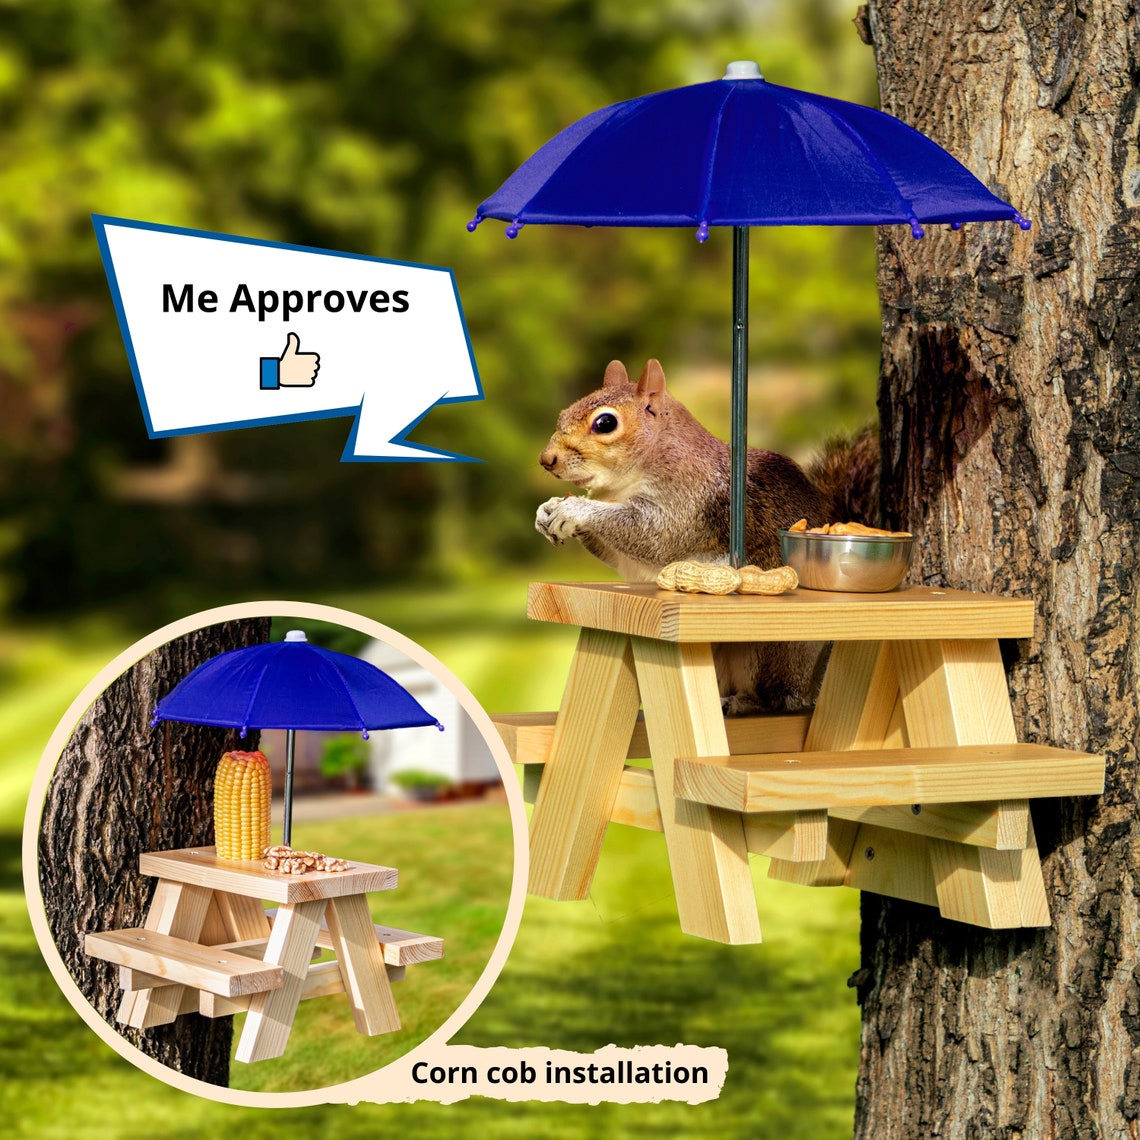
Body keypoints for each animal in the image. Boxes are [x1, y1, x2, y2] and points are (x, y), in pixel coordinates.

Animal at [535, 358, 880, 714]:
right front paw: (548, 509)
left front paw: (575, 508)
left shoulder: (687, 505)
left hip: (767, 652)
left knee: (777, 699)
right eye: (564, 414)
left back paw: (742, 702)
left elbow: (653, 537)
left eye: (605, 423)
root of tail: (813, 686)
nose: (546, 460)